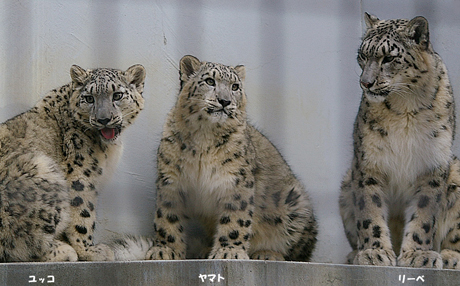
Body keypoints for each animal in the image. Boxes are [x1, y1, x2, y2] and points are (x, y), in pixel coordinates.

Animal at [0, 65, 145, 262]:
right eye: (89, 98)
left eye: (117, 95)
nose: (103, 119)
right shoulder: (81, 175)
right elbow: (83, 214)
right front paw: (88, 251)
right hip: (41, 168)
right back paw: (65, 251)